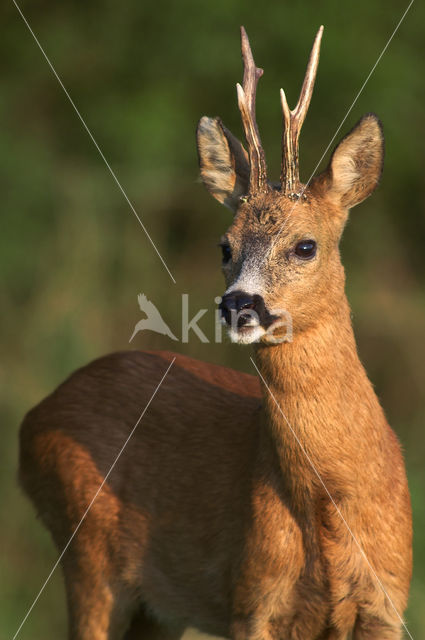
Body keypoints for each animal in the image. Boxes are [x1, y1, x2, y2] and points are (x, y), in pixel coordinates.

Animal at [19, 26, 410, 640]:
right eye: (224, 246)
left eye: (306, 245)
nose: (238, 306)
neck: (331, 507)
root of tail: (32, 420)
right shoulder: (253, 596)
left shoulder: (388, 602)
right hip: (86, 556)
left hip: (157, 608)